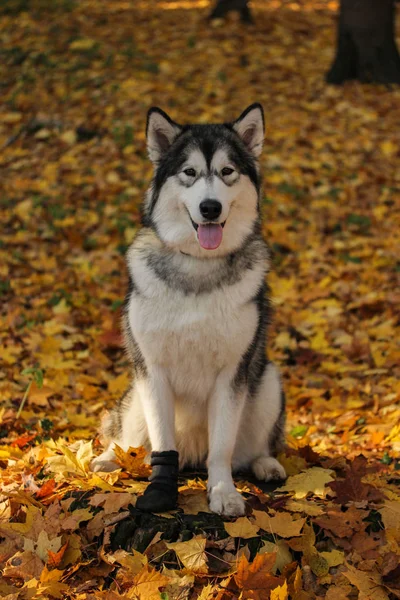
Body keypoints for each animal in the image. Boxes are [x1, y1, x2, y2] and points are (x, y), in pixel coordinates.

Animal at [90, 103, 286, 516]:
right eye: (190, 172)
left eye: (227, 172)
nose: (210, 207)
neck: (198, 266)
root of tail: (193, 456)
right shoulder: (153, 370)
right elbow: (163, 445)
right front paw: (160, 490)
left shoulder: (233, 372)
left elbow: (222, 447)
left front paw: (224, 492)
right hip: (135, 396)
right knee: (130, 442)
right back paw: (109, 458)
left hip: (269, 381)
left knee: (252, 448)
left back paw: (266, 463)